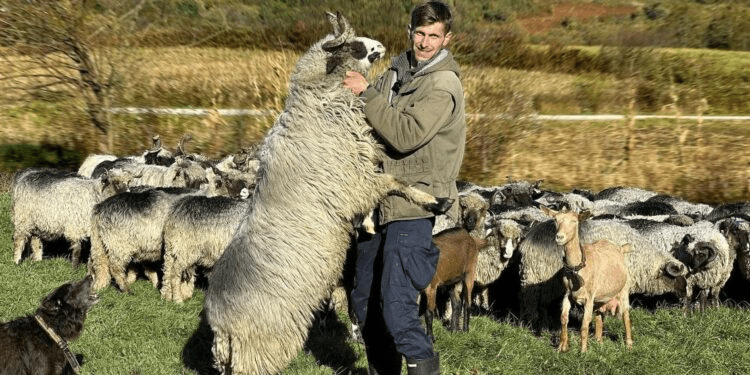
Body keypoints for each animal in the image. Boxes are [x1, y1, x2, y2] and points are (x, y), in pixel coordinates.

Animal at [203, 12, 456, 375]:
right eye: (354, 46)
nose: (381, 45)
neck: (316, 102)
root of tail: (220, 326)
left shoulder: (359, 177)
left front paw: (370, 224)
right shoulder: (356, 180)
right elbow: (395, 183)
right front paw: (435, 201)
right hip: (262, 347)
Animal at [540, 207, 636, 354]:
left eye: (574, 221)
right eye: (556, 220)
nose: (559, 237)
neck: (577, 268)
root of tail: (620, 248)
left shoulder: (589, 297)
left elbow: (584, 324)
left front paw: (583, 351)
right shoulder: (567, 294)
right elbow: (564, 318)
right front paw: (562, 346)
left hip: (624, 289)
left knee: (626, 315)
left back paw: (629, 345)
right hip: (600, 298)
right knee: (599, 317)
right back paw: (599, 342)